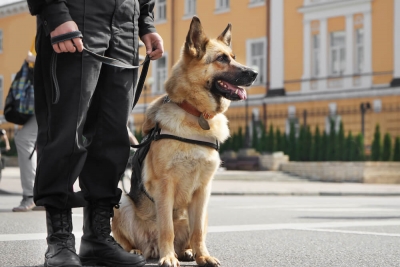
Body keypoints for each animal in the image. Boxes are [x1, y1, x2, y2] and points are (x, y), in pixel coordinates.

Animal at [111, 15, 258, 266]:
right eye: (221, 59)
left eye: (234, 57)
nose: (255, 73)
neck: (196, 115)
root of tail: (150, 248)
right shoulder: (165, 186)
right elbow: (166, 228)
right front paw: (168, 257)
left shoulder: (203, 190)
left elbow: (197, 231)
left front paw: (203, 256)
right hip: (121, 204)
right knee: (131, 240)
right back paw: (136, 251)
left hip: (205, 211)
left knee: (191, 234)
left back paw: (187, 251)